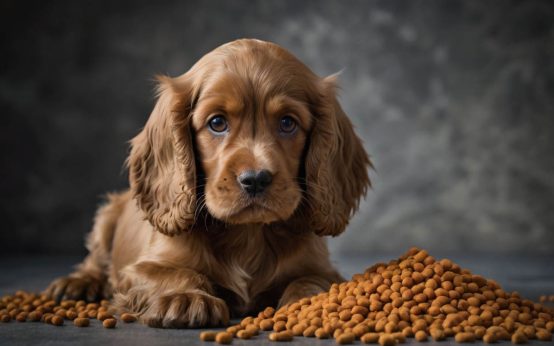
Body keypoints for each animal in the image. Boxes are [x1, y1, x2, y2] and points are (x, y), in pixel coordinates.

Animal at [44, 39, 370, 328]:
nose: (255, 180)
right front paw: (186, 297)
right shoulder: (137, 270)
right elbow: (175, 273)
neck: (248, 234)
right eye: (217, 123)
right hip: (108, 213)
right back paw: (76, 283)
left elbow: (312, 279)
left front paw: (308, 302)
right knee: (95, 259)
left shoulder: (323, 269)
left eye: (288, 123)